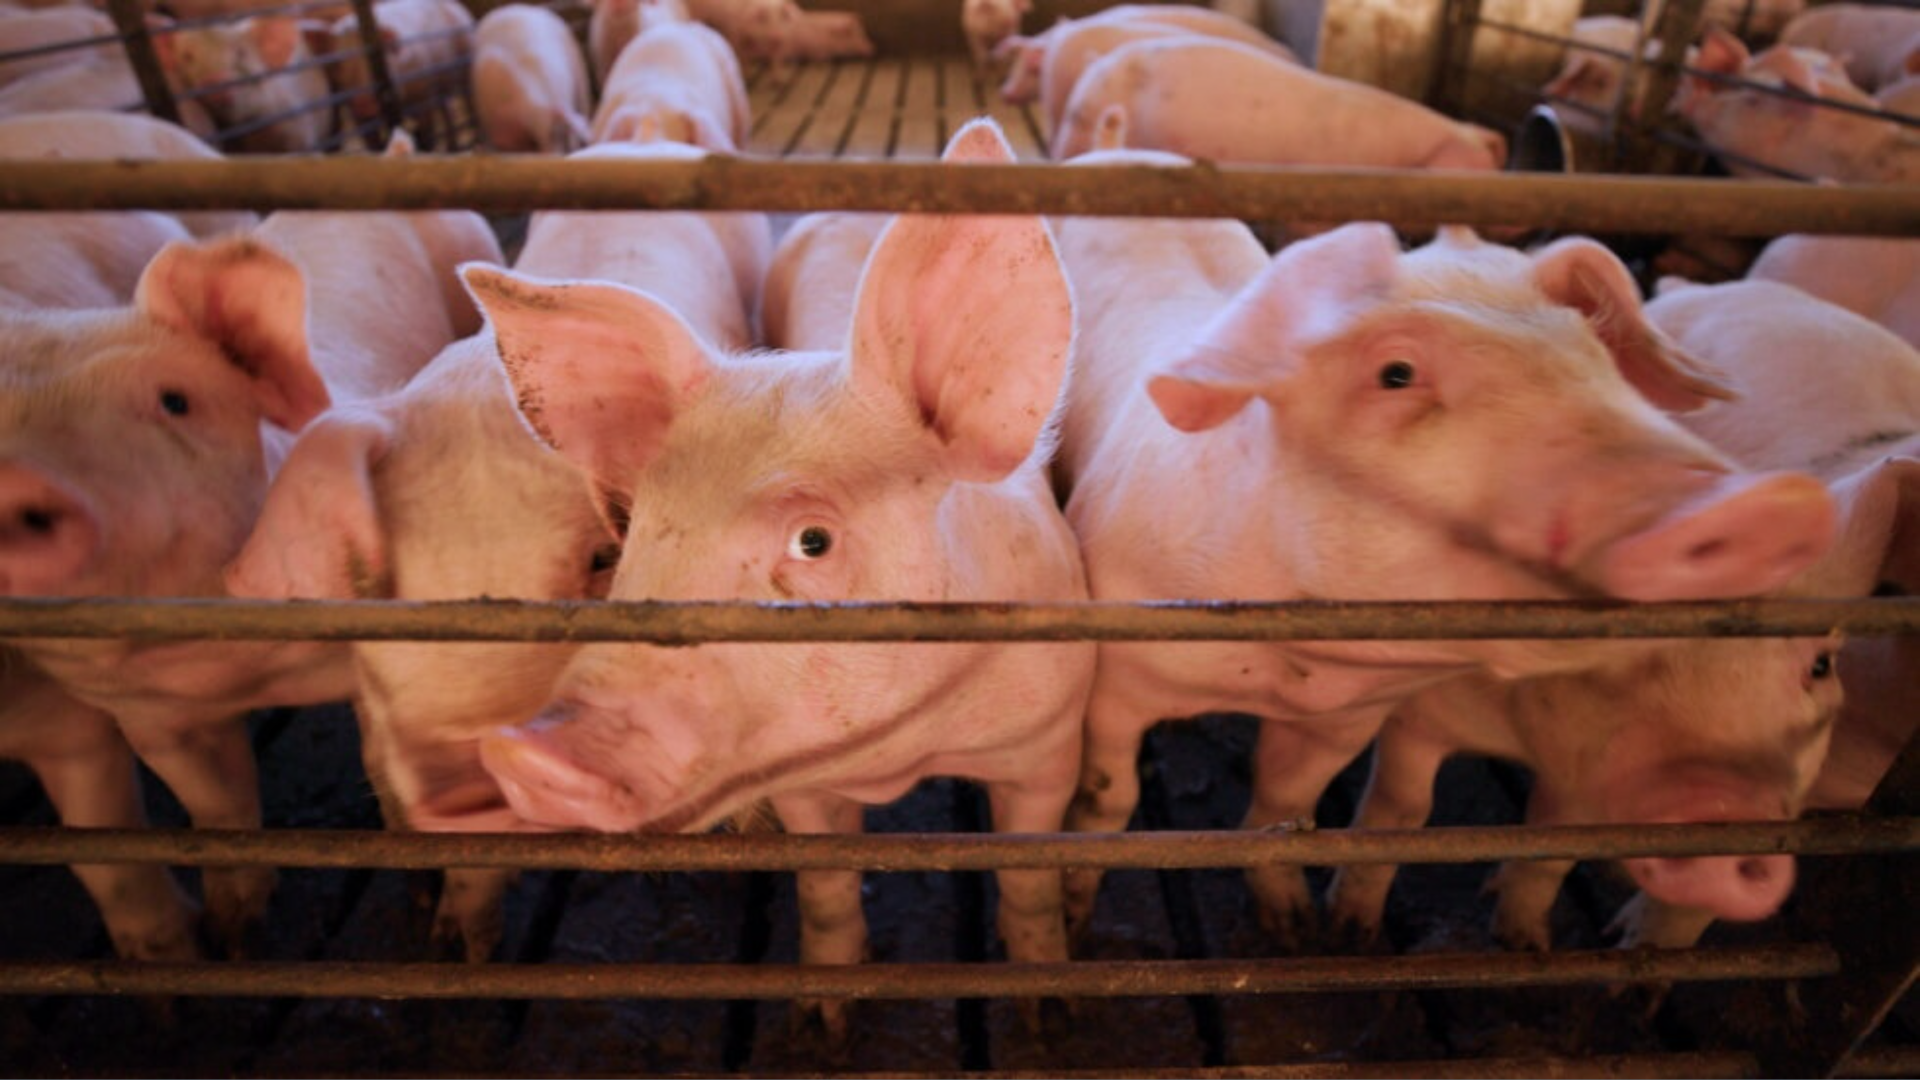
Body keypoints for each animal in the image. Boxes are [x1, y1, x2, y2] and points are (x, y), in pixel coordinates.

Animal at [0, 205, 497, 953]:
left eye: (175, 401)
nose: (16, 482)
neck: (234, 666)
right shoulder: (149, 719)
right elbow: (217, 809)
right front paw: (230, 933)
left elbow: (396, 766)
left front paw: (445, 931)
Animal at [453, 119, 1089, 1038]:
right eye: (636, 532)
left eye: (813, 540)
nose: (525, 750)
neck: (903, 754)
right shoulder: (802, 791)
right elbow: (825, 888)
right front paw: (820, 1027)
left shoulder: (1047, 741)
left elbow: (1029, 876)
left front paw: (1046, 1021)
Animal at [1047, 176, 1837, 947]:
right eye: (1396, 373)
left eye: (1596, 355)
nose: (1771, 504)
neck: (1284, 665)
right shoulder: (1117, 672)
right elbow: (1108, 798)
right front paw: (1079, 917)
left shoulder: (1347, 716)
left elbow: (1284, 802)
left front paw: (1295, 929)